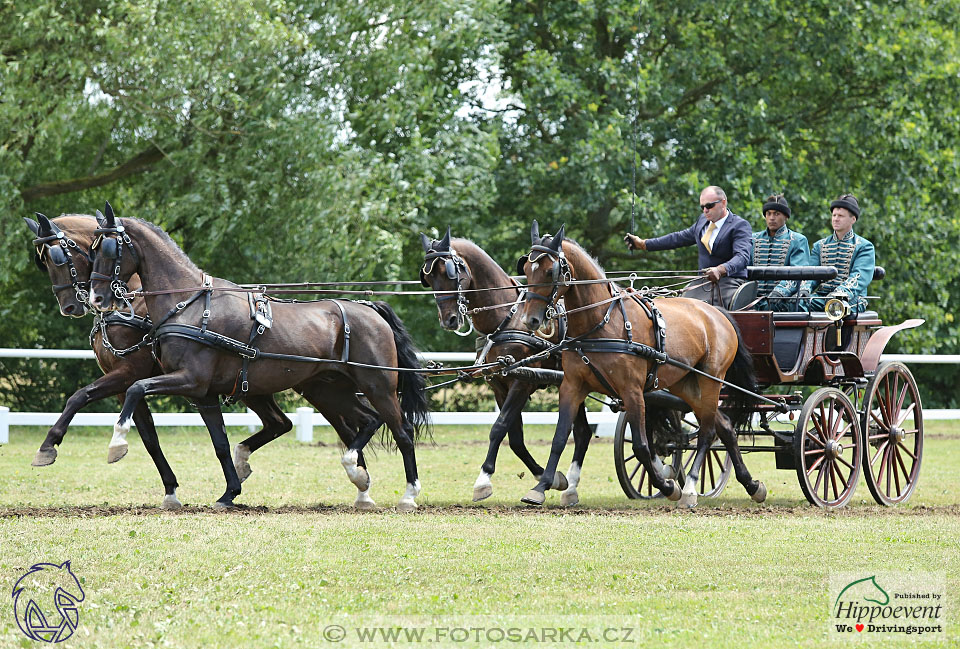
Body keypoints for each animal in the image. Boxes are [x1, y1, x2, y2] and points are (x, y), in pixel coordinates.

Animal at [26, 213, 392, 512]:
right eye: (44, 262)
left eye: (61, 255)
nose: (81, 302)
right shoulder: (170, 387)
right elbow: (152, 434)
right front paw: (180, 491)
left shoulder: (147, 375)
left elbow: (113, 398)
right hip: (296, 388)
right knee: (307, 424)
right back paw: (360, 486)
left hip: (328, 389)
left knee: (358, 424)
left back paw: (362, 484)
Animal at [418, 230, 588, 504]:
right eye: (428, 277)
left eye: (449, 272)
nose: (449, 320)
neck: (507, 317)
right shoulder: (499, 384)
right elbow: (515, 438)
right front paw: (551, 478)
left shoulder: (522, 382)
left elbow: (499, 427)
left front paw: (483, 480)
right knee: (583, 433)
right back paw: (570, 488)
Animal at [512, 221, 768, 506]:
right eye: (526, 270)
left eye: (549, 271)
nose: (530, 320)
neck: (601, 321)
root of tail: (716, 312)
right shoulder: (572, 386)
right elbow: (559, 438)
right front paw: (541, 486)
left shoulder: (632, 391)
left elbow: (642, 446)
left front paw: (667, 486)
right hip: (685, 384)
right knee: (724, 427)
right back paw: (751, 485)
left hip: (711, 379)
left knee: (707, 430)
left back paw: (690, 489)